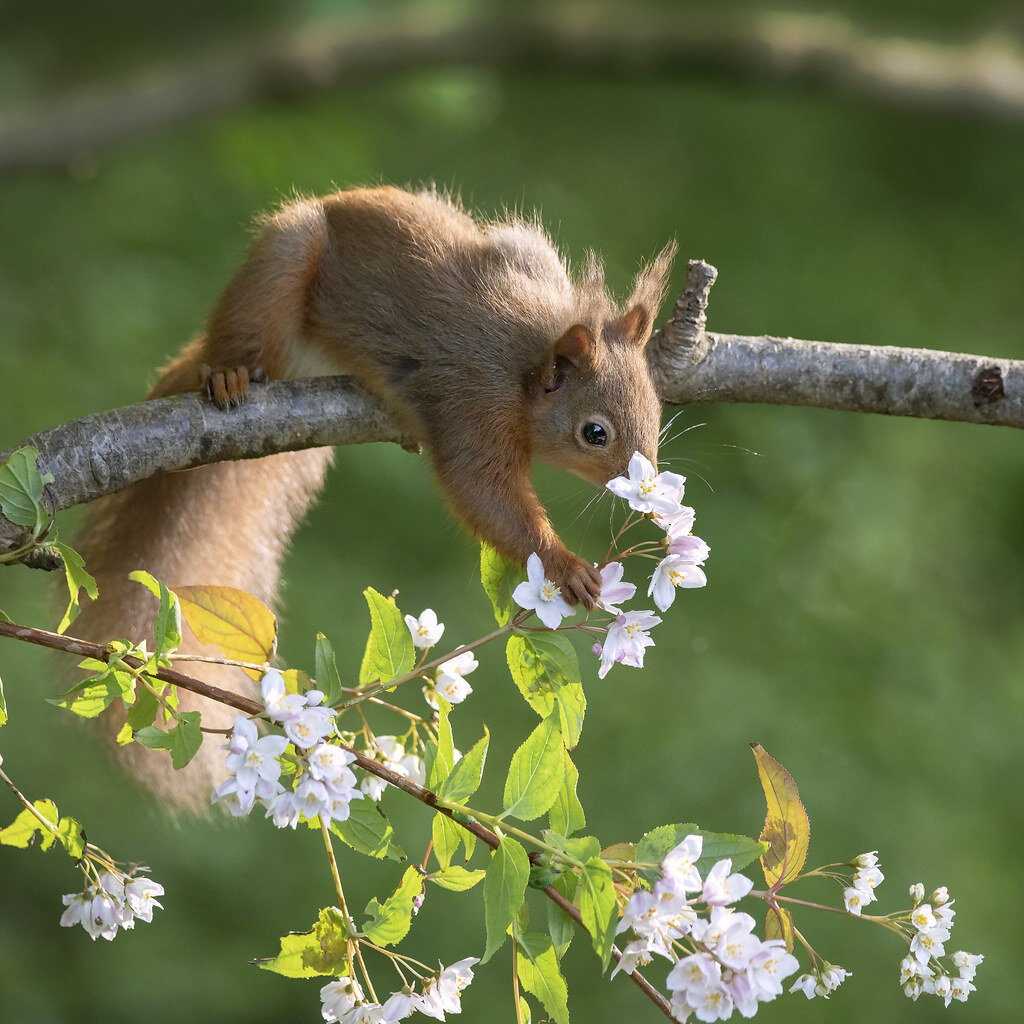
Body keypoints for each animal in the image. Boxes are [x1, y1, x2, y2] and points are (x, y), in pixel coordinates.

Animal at [74, 188, 679, 802]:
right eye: (594, 433)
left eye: (656, 411)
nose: (647, 478)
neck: (527, 360)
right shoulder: (473, 401)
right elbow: (482, 489)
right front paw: (565, 564)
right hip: (280, 267)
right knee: (241, 331)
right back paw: (227, 373)